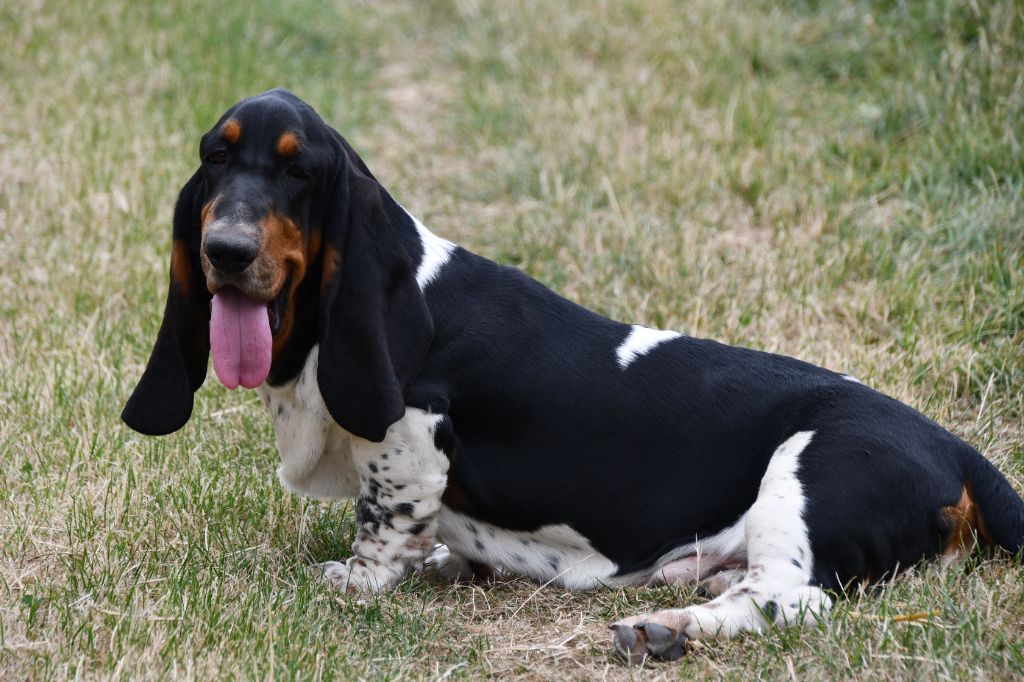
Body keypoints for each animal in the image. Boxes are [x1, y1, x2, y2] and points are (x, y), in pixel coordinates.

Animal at [121, 89, 1024, 659]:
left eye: (297, 170)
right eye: (215, 159)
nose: (226, 251)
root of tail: (957, 449)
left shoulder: (412, 433)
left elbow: (385, 519)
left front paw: (360, 578)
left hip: (799, 482)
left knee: (792, 599)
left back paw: (667, 630)